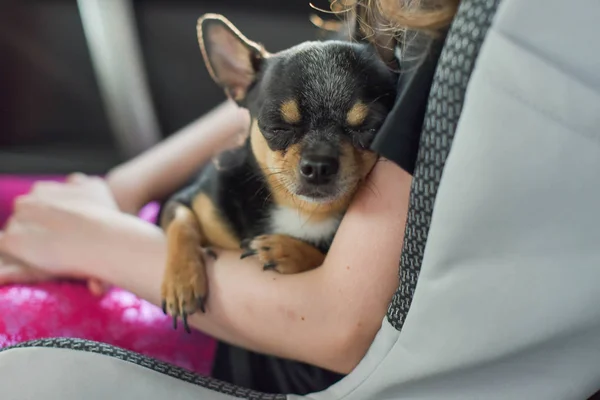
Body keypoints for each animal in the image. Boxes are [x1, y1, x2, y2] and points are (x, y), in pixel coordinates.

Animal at [159, 13, 398, 332]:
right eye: (277, 127)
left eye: (369, 128)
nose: (319, 165)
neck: (301, 210)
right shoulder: (181, 201)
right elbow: (181, 221)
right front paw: (181, 281)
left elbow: (321, 258)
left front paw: (289, 250)